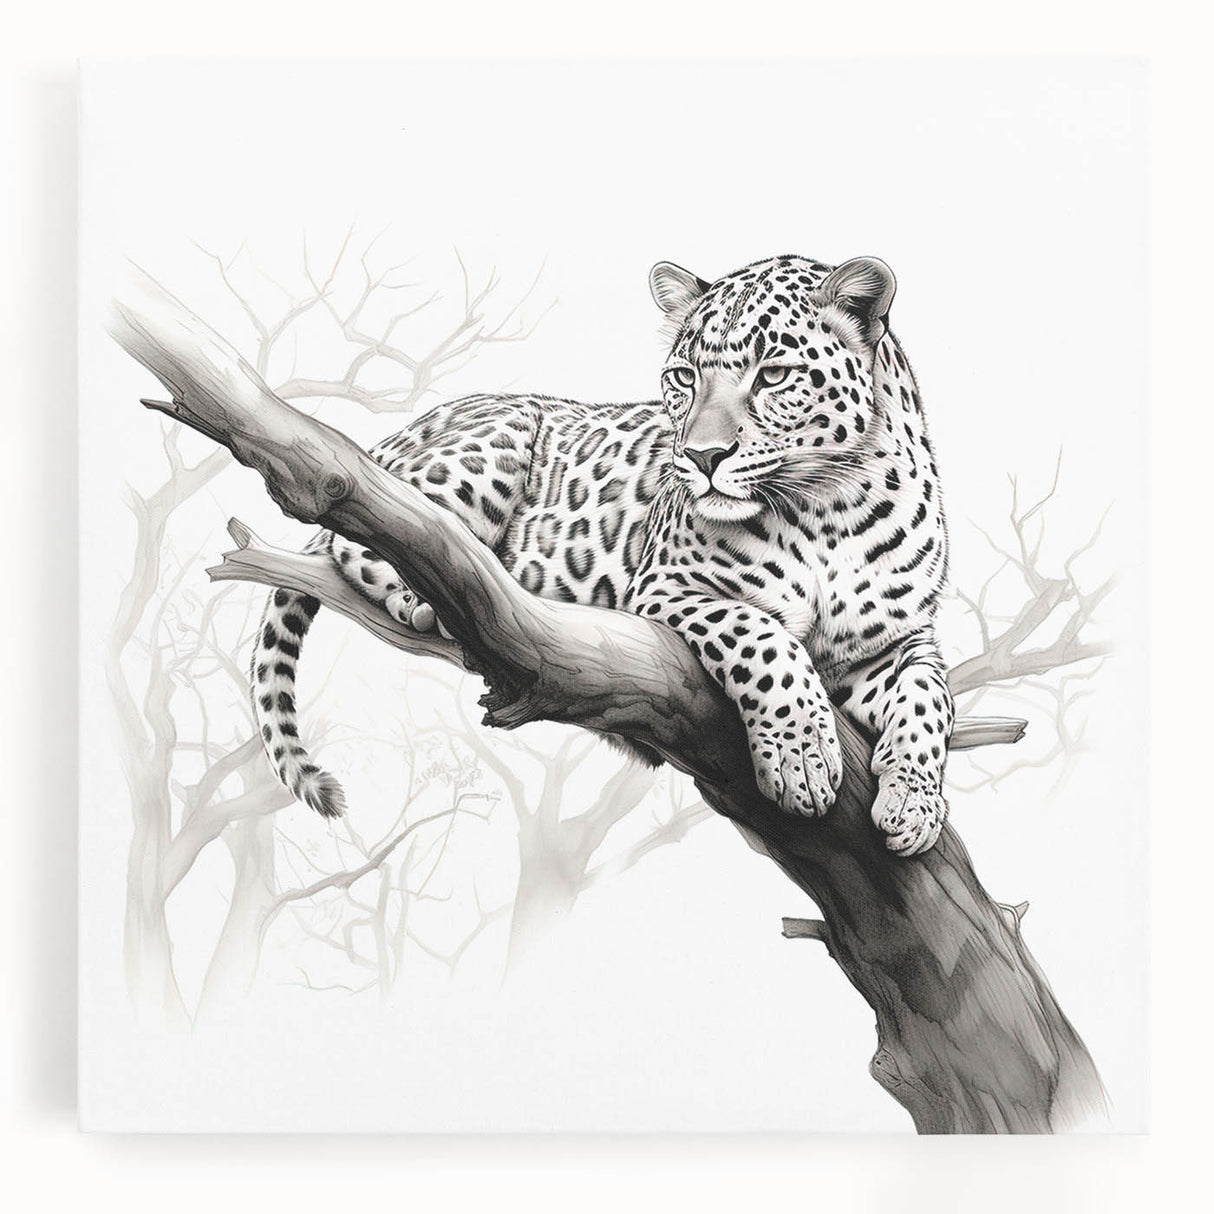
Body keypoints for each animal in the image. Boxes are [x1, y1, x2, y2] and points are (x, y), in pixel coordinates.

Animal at [251, 253, 954, 855]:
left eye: (774, 375)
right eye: (684, 378)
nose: (701, 457)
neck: (828, 512)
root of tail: (404, 429)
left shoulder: (896, 639)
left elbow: (930, 698)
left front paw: (913, 805)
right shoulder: (666, 587)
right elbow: (763, 638)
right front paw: (801, 758)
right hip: (486, 451)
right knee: (372, 532)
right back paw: (428, 593)